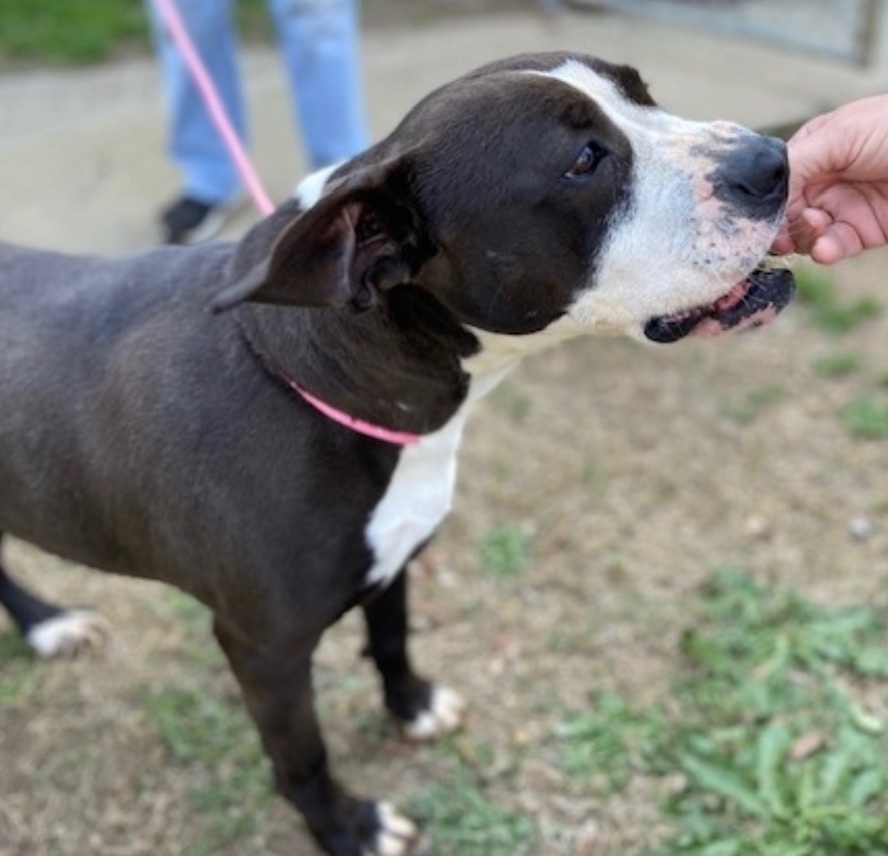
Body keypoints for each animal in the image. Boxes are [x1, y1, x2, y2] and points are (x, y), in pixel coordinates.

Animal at [0, 55, 792, 856]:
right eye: (583, 161)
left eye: (642, 93)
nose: (772, 161)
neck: (321, 381)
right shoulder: (263, 649)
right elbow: (302, 755)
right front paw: (346, 828)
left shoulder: (396, 558)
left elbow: (391, 640)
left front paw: (411, 708)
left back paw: (45, 626)